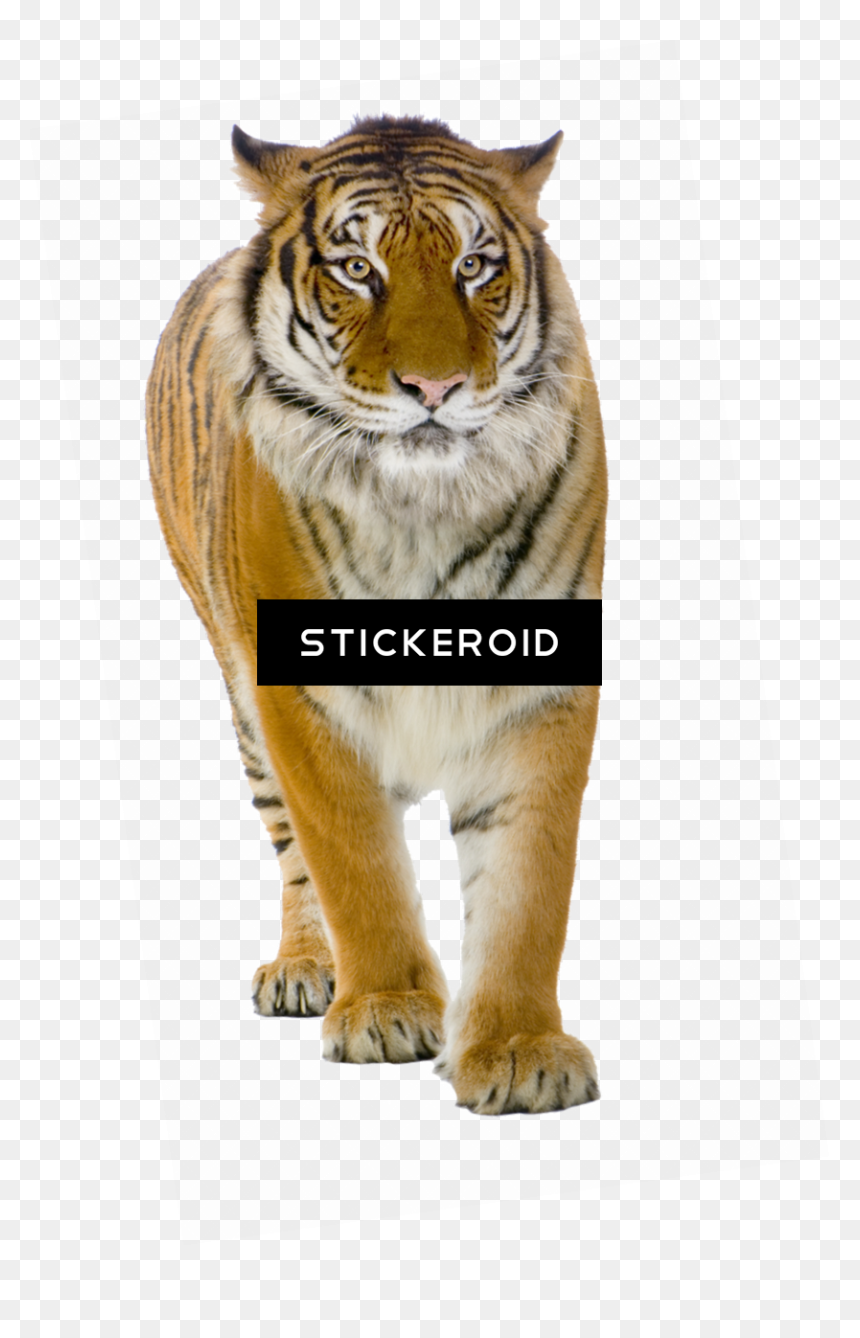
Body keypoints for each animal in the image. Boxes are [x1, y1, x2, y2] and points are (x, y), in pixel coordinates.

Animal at [145, 115, 607, 1115]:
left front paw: (521, 1049)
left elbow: (527, 889)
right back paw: (304, 968)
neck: (422, 508)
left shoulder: (542, 688)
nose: (433, 389)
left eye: (474, 264)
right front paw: (387, 1009)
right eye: (358, 269)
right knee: (293, 850)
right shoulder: (301, 695)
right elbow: (354, 864)